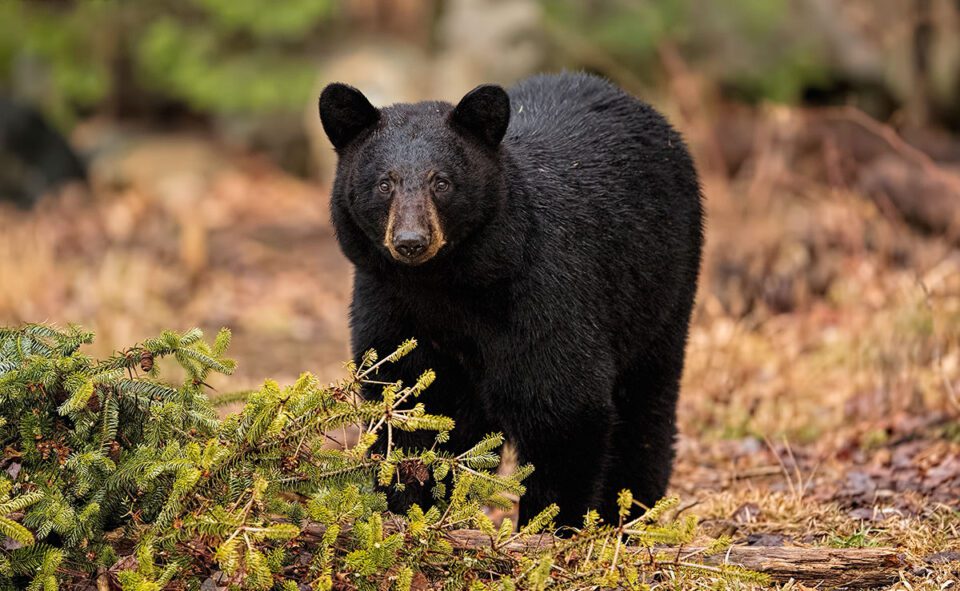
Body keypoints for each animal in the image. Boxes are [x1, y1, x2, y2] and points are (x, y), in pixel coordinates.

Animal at [318, 73, 700, 528]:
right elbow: (413, 403)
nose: (411, 241)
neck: (444, 285)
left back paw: (629, 514)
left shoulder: (543, 294)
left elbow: (565, 407)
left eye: (441, 182)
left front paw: (549, 527)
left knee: (646, 404)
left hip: (663, 286)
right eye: (384, 183)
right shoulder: (390, 304)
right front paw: (409, 511)